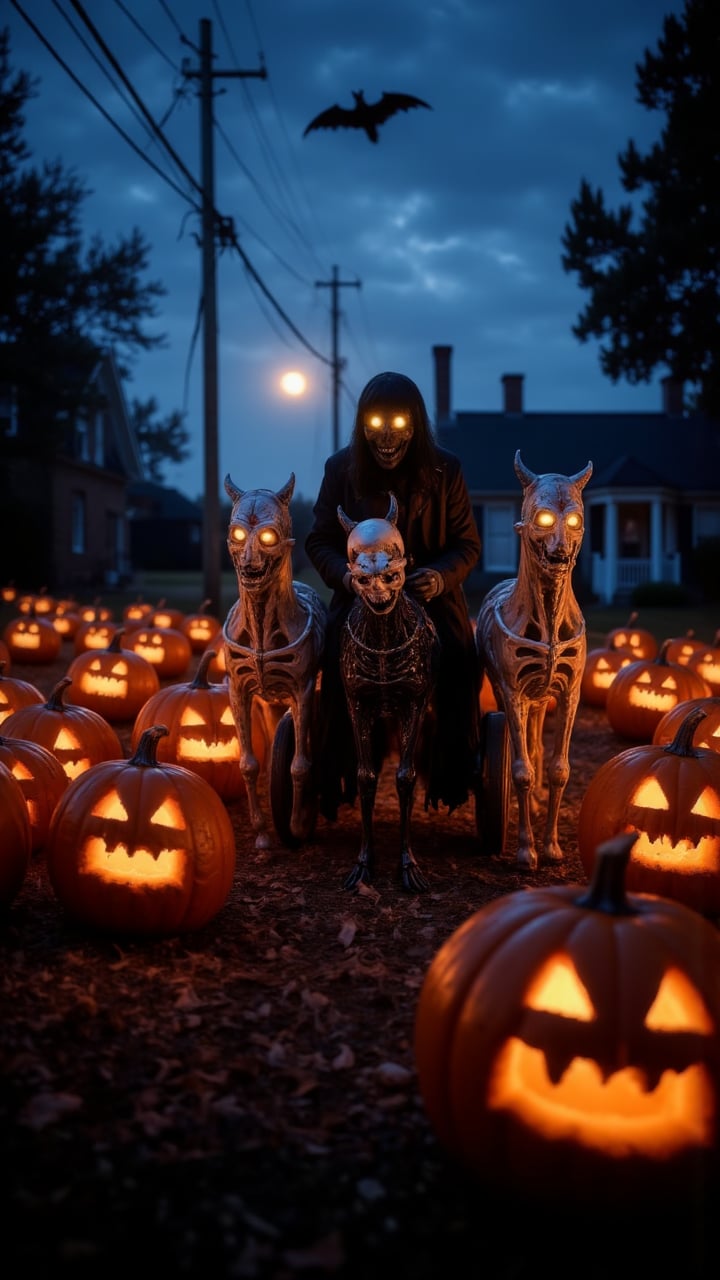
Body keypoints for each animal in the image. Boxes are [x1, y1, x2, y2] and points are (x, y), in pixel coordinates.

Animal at [221, 471, 327, 849]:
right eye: (237, 534)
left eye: (269, 536)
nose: (250, 566)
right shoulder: (237, 689)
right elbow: (248, 763)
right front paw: (262, 833)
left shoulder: (303, 689)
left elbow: (301, 763)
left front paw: (296, 825)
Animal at [338, 494, 443, 896]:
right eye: (362, 577)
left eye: (391, 572)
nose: (381, 599)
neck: (383, 641)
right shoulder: (358, 703)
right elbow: (366, 776)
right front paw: (363, 864)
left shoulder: (413, 702)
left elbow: (405, 777)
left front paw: (408, 865)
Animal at [476, 448, 589, 870]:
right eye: (542, 518)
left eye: (574, 519)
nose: (559, 555)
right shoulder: (511, 689)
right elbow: (520, 768)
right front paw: (526, 851)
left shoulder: (570, 690)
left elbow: (559, 769)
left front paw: (553, 847)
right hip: (511, 692)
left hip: (541, 698)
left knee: (538, 741)